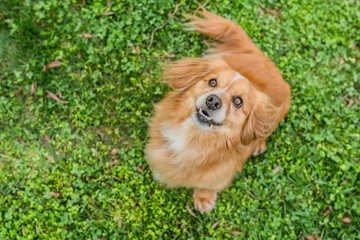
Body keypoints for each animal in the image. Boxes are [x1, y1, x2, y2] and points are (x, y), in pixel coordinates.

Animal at [144, 9, 290, 214]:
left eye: (238, 101)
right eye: (212, 82)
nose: (213, 101)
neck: (194, 138)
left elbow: (209, 184)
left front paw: (204, 198)